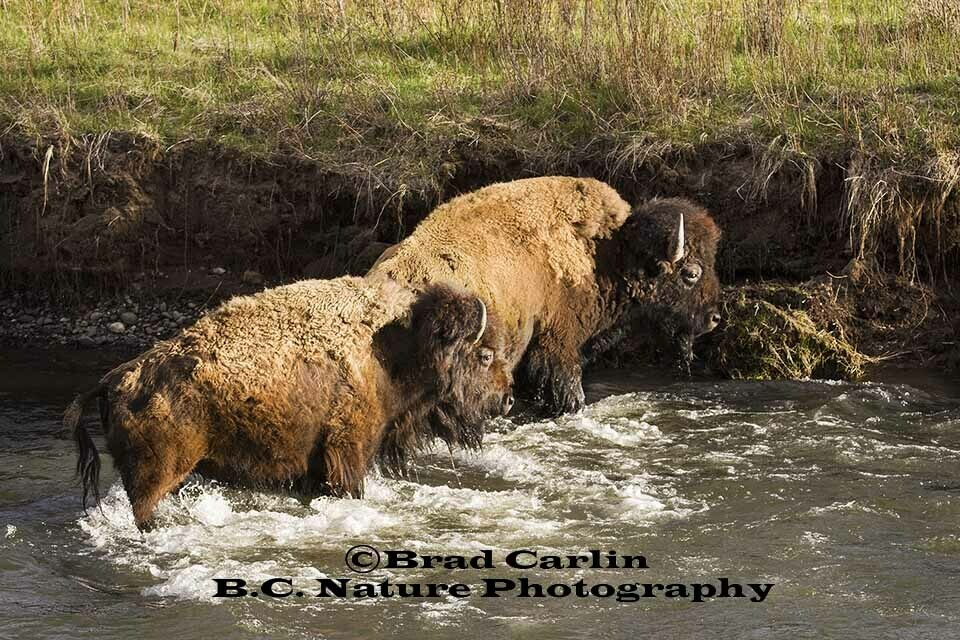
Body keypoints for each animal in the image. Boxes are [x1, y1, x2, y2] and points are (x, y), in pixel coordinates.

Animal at [64, 277, 513, 530]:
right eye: (484, 354)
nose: (507, 399)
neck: (390, 349)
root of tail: (115, 380)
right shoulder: (348, 454)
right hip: (156, 474)